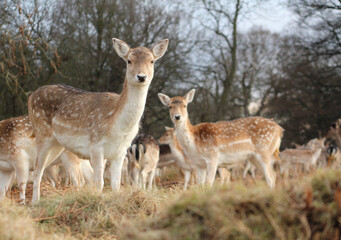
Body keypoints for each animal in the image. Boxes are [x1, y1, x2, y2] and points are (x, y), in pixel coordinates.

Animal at [28, 38, 168, 202]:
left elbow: (115, 184)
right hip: (42, 134)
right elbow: (99, 183)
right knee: (37, 170)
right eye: (129, 60)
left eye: (152, 61)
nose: (141, 77)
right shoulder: (95, 145)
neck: (118, 126)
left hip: (57, 145)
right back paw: (34, 202)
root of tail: (31, 97)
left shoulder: (121, 152)